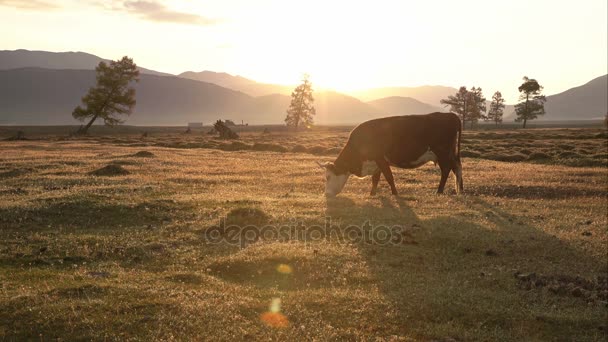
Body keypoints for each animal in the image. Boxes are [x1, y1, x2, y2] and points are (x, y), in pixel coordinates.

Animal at [320, 113, 464, 198]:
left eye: (328, 177)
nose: (326, 194)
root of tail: (451, 115)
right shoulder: (376, 163)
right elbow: (375, 179)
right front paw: (372, 194)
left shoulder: (380, 159)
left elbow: (389, 177)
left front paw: (395, 193)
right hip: (450, 153)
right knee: (457, 167)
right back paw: (460, 190)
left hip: (442, 152)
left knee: (447, 169)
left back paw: (439, 191)